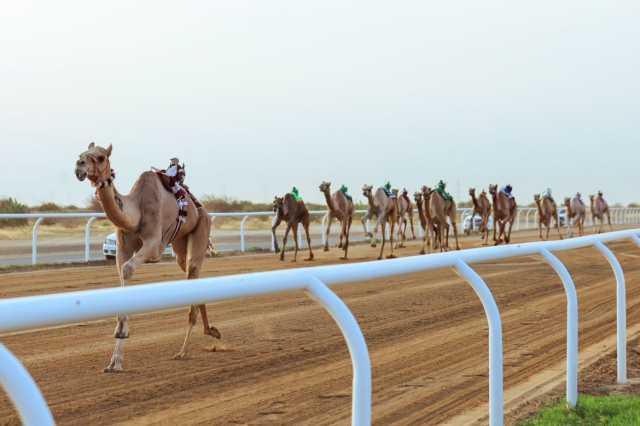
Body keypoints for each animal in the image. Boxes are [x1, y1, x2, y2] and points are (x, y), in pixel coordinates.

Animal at [74, 141, 220, 372]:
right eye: (82, 154)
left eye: (101, 157)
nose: (79, 167)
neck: (136, 211)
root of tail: (200, 208)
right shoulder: (123, 246)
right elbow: (122, 271)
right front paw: (115, 362)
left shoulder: (153, 245)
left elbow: (128, 269)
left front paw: (122, 332)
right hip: (180, 245)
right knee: (192, 276)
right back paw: (211, 330)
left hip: (201, 229)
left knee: (193, 270)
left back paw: (183, 351)